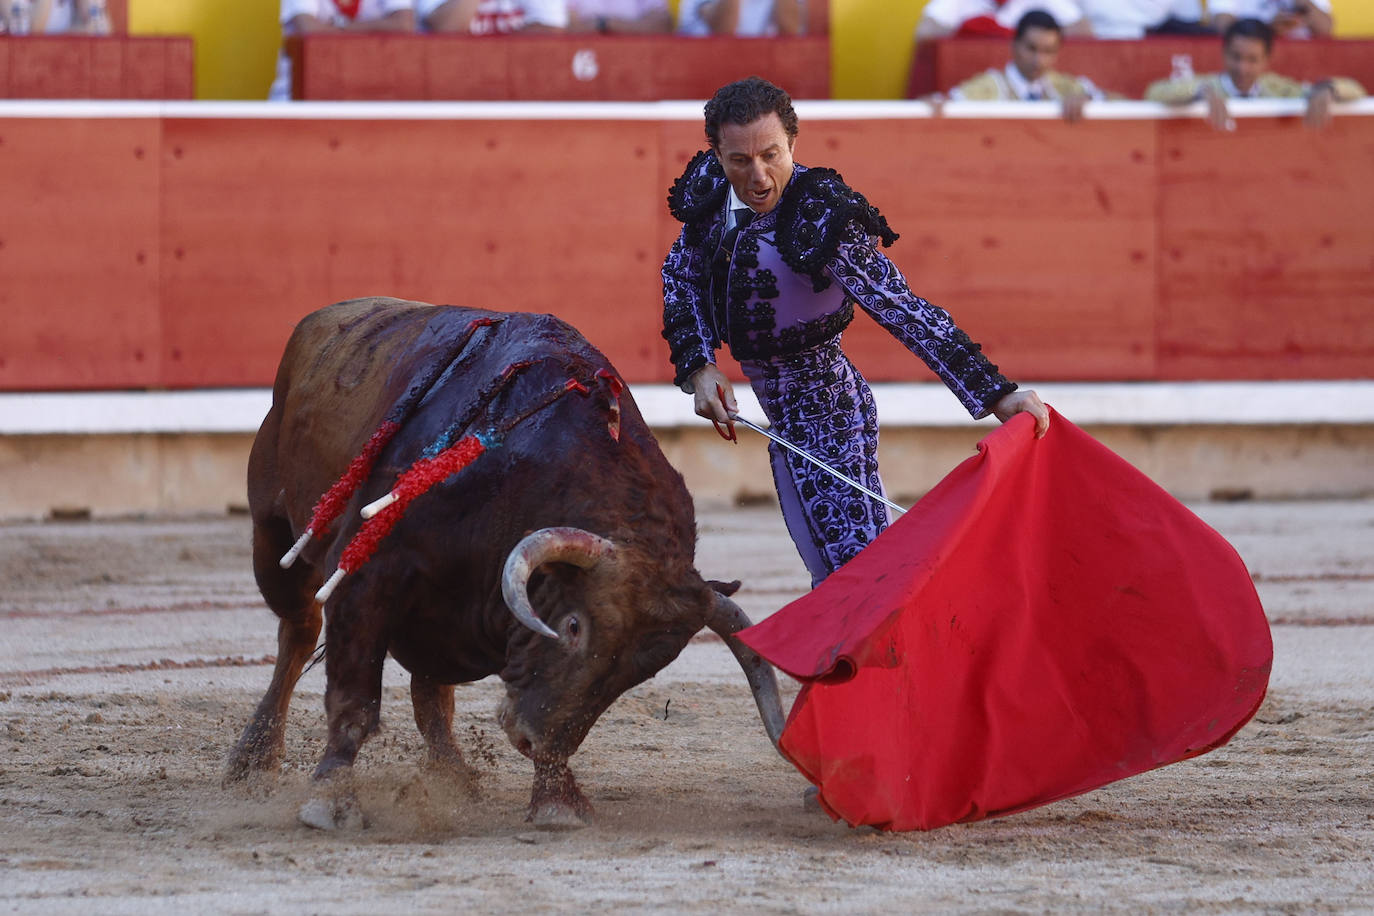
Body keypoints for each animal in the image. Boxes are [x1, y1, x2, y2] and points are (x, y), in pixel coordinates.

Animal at [225, 300, 785, 829]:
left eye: (639, 672)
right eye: (573, 626)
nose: (530, 739)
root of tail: (323, 319)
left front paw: (557, 797)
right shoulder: (366, 576)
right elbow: (353, 698)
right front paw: (332, 801)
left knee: (430, 691)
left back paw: (450, 776)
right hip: (272, 536)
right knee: (298, 632)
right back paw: (253, 761)